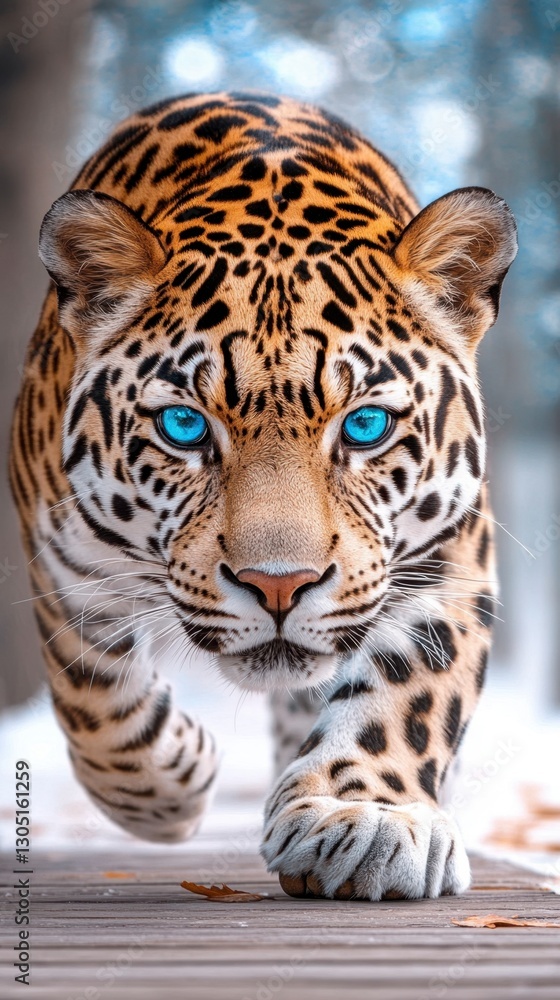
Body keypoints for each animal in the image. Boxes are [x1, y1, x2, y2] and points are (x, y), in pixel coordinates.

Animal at [10, 92, 517, 901]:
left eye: (365, 425)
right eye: (184, 426)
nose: (279, 586)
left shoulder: (448, 546)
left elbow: (410, 689)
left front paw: (364, 815)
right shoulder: (61, 562)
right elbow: (95, 699)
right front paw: (175, 785)